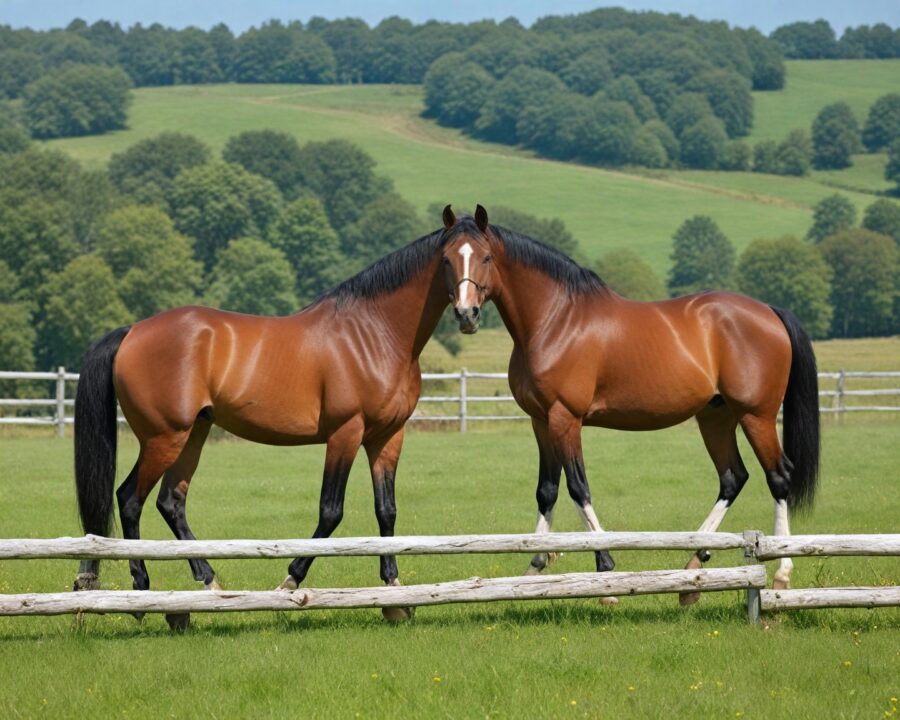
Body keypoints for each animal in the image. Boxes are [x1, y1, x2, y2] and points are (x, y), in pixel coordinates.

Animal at [73, 218, 466, 624]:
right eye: (449, 260)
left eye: (482, 256)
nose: (468, 314)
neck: (372, 335)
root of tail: (132, 331)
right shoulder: (346, 432)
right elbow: (331, 511)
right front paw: (290, 581)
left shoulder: (386, 436)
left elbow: (385, 510)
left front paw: (394, 591)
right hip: (163, 438)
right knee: (129, 500)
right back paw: (141, 593)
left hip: (193, 434)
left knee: (171, 502)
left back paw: (208, 582)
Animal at [439, 205, 819, 603]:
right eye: (446, 258)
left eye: (485, 257)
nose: (466, 315)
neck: (556, 320)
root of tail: (769, 311)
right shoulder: (541, 421)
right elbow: (547, 490)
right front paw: (534, 568)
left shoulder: (565, 418)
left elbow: (578, 488)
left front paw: (605, 574)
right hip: (716, 416)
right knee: (733, 478)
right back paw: (693, 567)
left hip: (756, 415)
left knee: (778, 477)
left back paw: (781, 573)